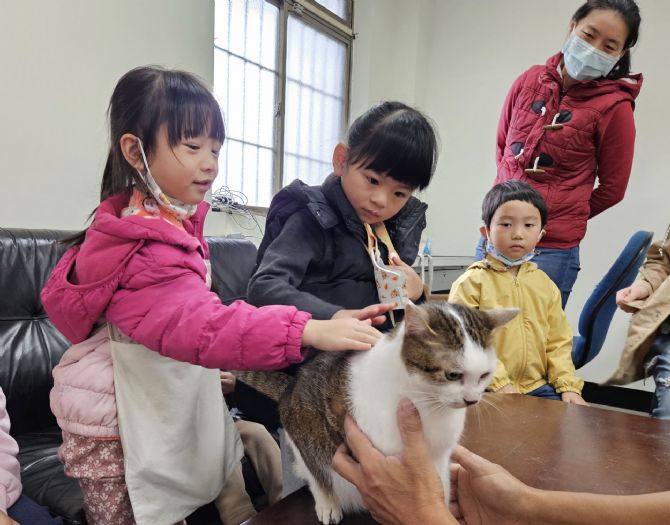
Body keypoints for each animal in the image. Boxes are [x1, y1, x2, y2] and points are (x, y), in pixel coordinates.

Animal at [236, 300, 520, 520]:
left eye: (484, 375)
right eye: (453, 375)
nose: (472, 400)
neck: (429, 404)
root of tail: (292, 385)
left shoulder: (439, 457)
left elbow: (440, 485)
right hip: (307, 434)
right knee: (315, 472)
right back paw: (328, 502)